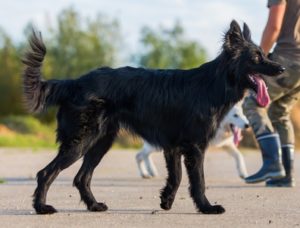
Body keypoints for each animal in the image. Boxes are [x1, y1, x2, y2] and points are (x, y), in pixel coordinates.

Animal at [22, 20, 284, 215]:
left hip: (100, 142)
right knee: (46, 173)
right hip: (81, 142)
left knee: (81, 178)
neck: (213, 84)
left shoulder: (173, 147)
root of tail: (74, 83)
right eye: (256, 58)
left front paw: (166, 201)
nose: (281, 69)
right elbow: (197, 180)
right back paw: (42, 207)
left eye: (264, 55)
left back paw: (94, 205)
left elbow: (176, 177)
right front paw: (206, 207)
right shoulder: (195, 147)